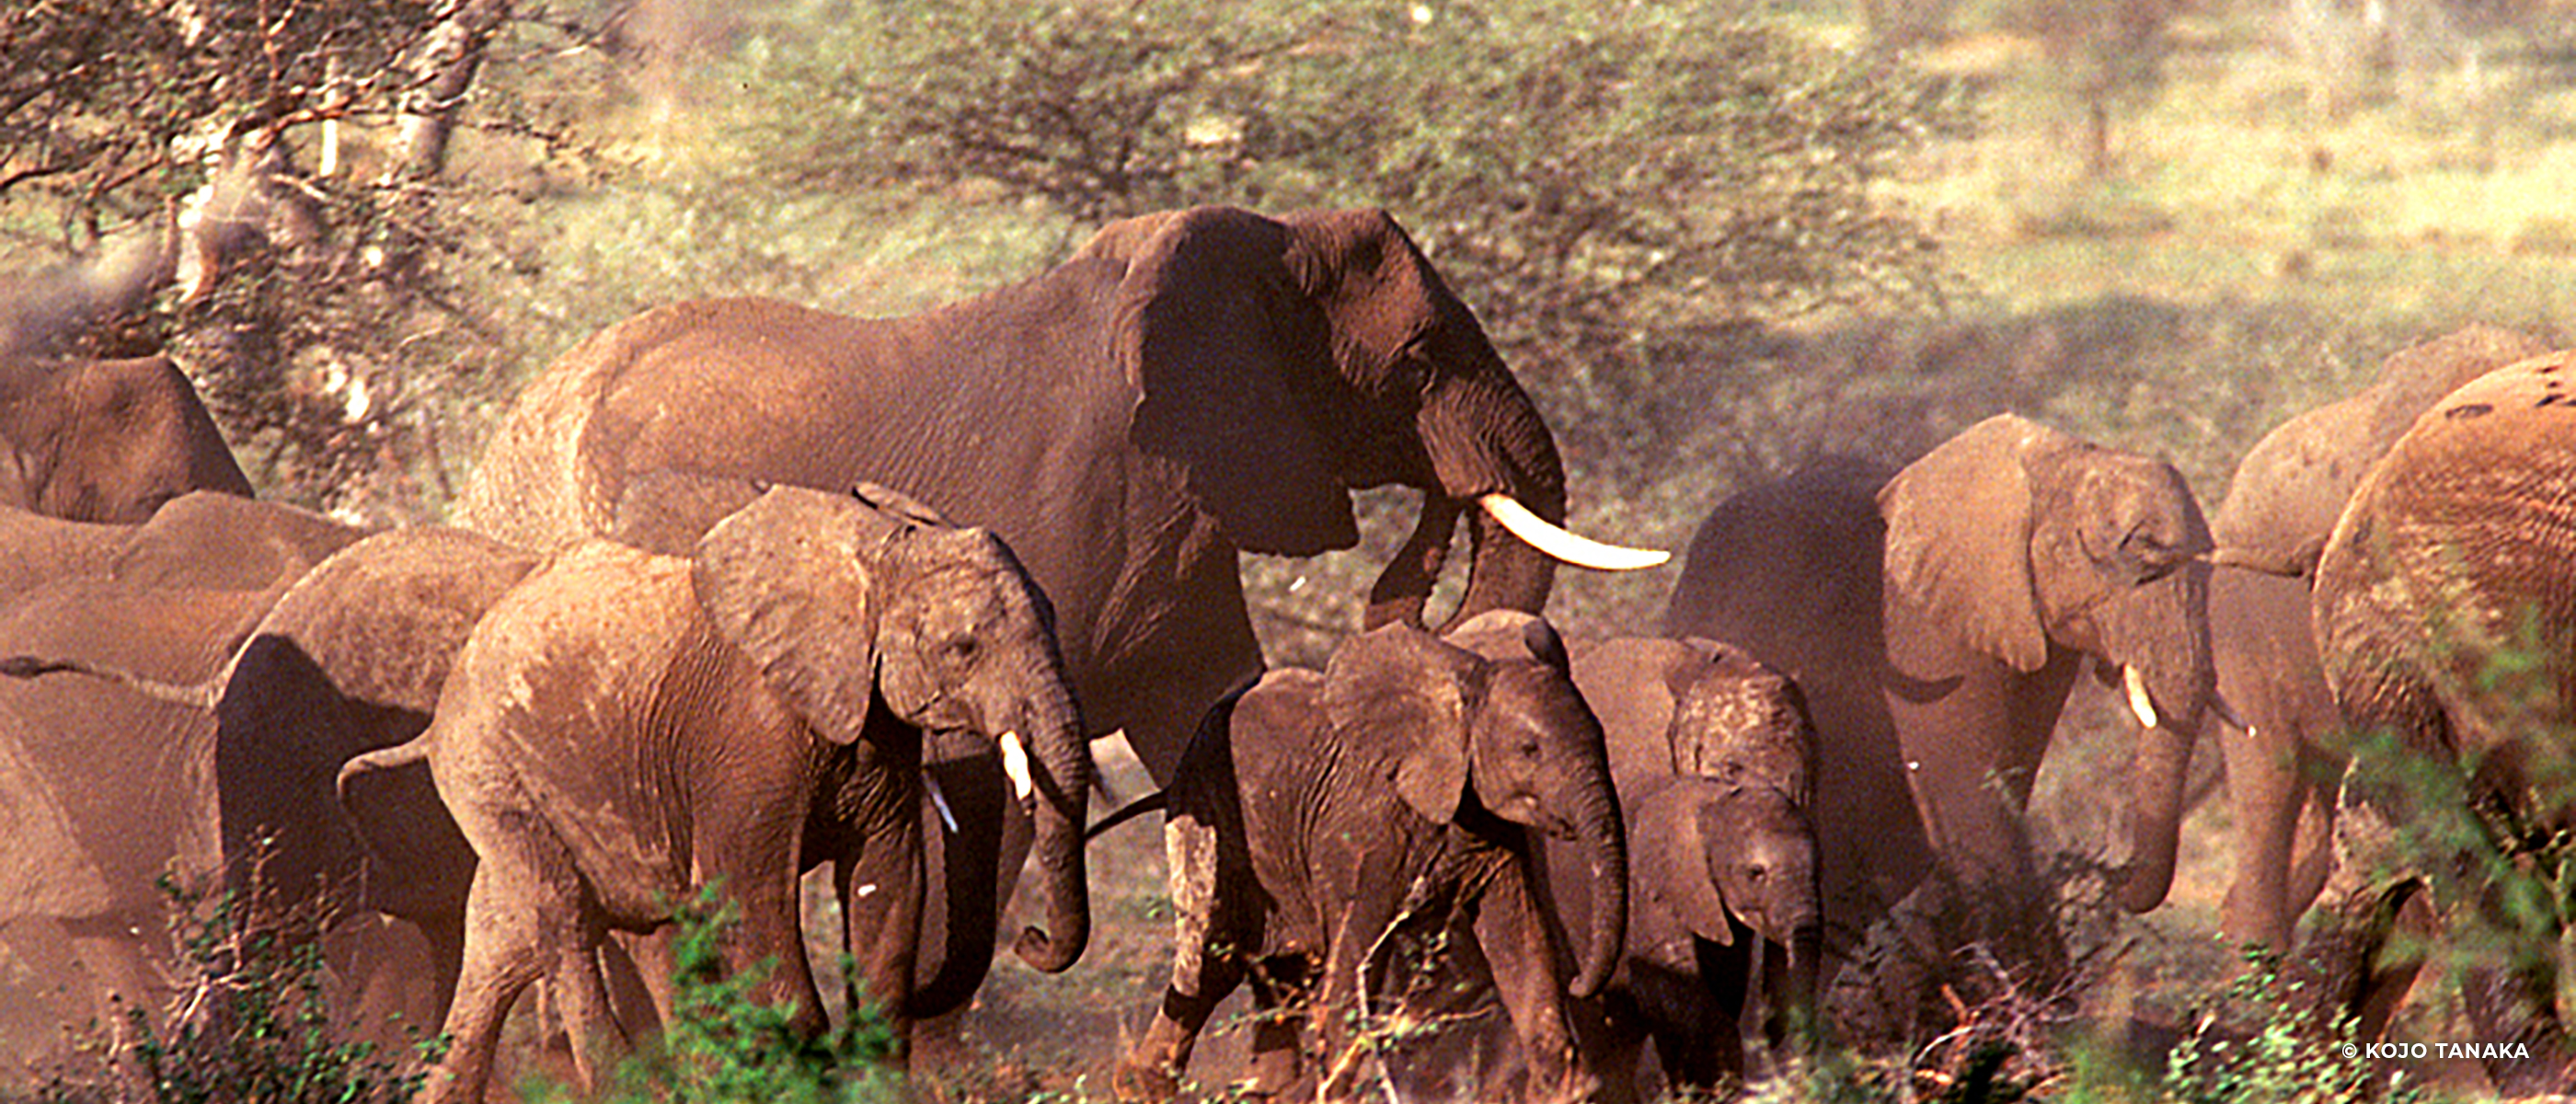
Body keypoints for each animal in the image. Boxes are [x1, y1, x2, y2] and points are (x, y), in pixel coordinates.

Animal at [345, 483, 1097, 1101]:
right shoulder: (750, 735)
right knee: (561, 913)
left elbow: (888, 881)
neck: (873, 551)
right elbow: (749, 893)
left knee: (520, 936)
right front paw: (804, 1082)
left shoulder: (873, 722)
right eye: (963, 648)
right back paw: (628, 1087)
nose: (1030, 939)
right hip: (489, 769)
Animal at [1112, 615, 1627, 1096]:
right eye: (1529, 749)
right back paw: (1140, 1084)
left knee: (1279, 976)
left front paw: (1570, 1089)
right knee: (1209, 964)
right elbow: (1356, 961)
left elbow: (1519, 938)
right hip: (1207, 826)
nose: (1583, 984)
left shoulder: (1488, 824)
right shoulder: (1362, 834)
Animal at [1659, 414, 2225, 1040]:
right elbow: (1974, 803)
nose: (2114, 878)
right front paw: (2040, 1016)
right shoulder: (1932, 633)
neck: (2056, 462)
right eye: (2133, 552)